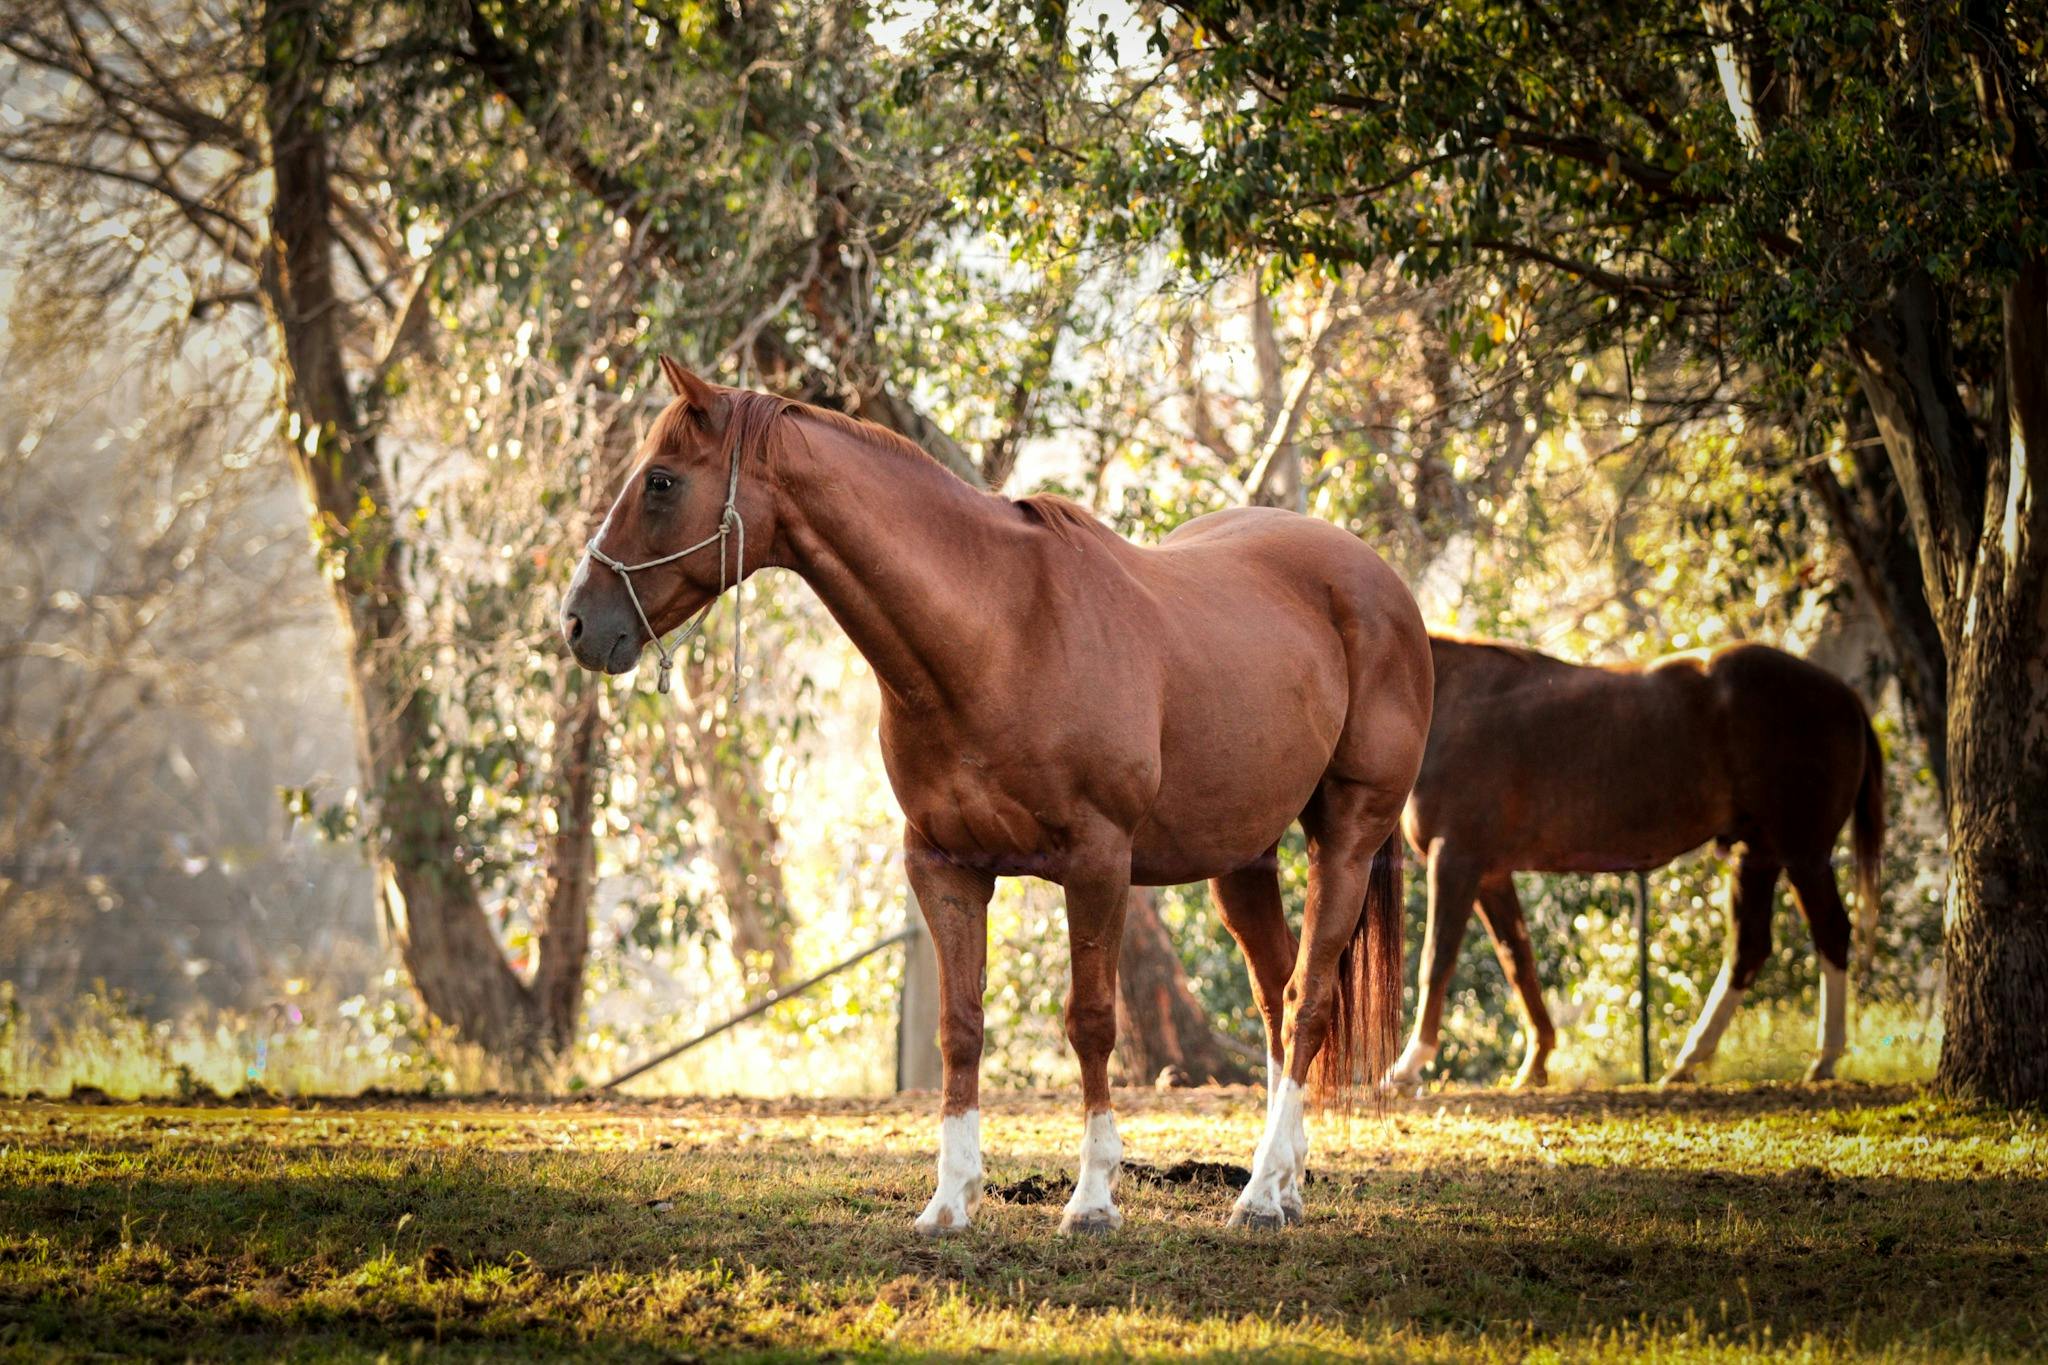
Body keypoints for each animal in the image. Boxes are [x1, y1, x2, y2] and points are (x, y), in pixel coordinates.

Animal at [561, 358, 1433, 1234]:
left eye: (661, 481)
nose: (575, 623)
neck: (1000, 634)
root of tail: (1380, 582)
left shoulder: (1097, 863)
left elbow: (1090, 1021)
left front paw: (1092, 1199)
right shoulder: (945, 866)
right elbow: (960, 1028)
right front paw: (951, 1199)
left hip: (1346, 838)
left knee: (1307, 997)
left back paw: (1257, 1195)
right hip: (1242, 857)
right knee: (1274, 996)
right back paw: (1280, 1182)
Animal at [1381, 634, 1884, 1091]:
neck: (1452, 698)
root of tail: (1844, 695)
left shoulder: (1456, 858)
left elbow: (1436, 959)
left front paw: (1406, 1067)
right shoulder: (1491, 874)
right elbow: (1518, 961)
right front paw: (1536, 1063)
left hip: (1803, 854)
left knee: (1831, 932)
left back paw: (1824, 1058)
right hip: (1757, 856)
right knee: (1749, 949)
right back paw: (1687, 1061)